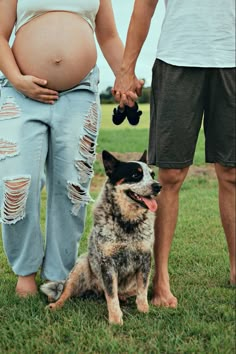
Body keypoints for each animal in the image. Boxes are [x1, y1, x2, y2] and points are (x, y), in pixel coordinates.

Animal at [40, 149, 162, 324]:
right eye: (135, 175)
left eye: (152, 174)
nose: (158, 186)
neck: (127, 223)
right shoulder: (107, 262)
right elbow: (111, 295)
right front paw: (116, 319)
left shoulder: (145, 259)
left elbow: (142, 290)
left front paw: (144, 311)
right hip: (81, 265)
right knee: (65, 292)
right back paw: (55, 304)